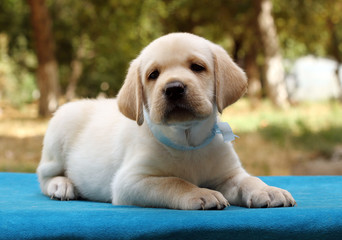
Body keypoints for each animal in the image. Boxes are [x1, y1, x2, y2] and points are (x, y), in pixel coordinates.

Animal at [36, 32, 296, 209]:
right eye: (153, 75)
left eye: (197, 67)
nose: (173, 88)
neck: (187, 140)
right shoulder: (131, 181)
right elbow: (173, 181)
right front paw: (200, 193)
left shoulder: (230, 175)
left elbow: (250, 180)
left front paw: (269, 191)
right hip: (59, 136)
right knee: (44, 175)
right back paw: (62, 185)